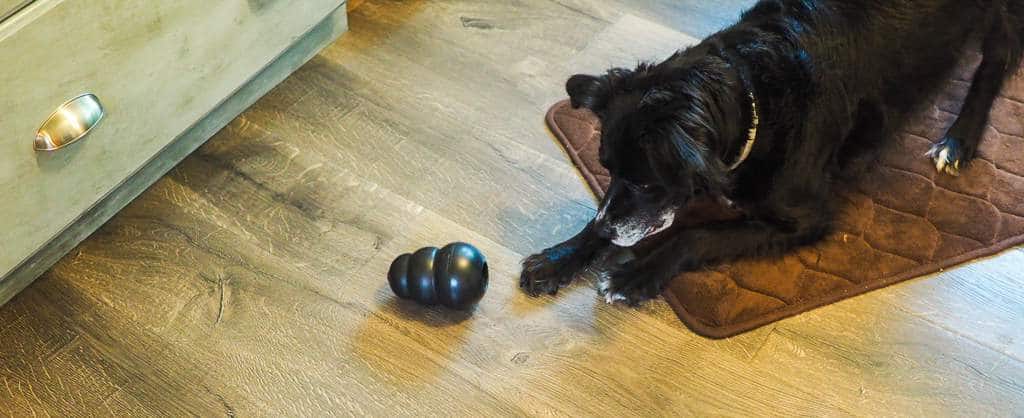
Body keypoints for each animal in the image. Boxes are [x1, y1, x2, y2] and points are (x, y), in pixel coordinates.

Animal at [520, 0, 1024, 303]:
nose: (609, 230)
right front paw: (560, 257)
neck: (754, 98)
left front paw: (633, 275)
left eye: (647, 183)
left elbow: (696, 236)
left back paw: (958, 139)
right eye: (606, 167)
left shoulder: (807, 220)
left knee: (994, 64)